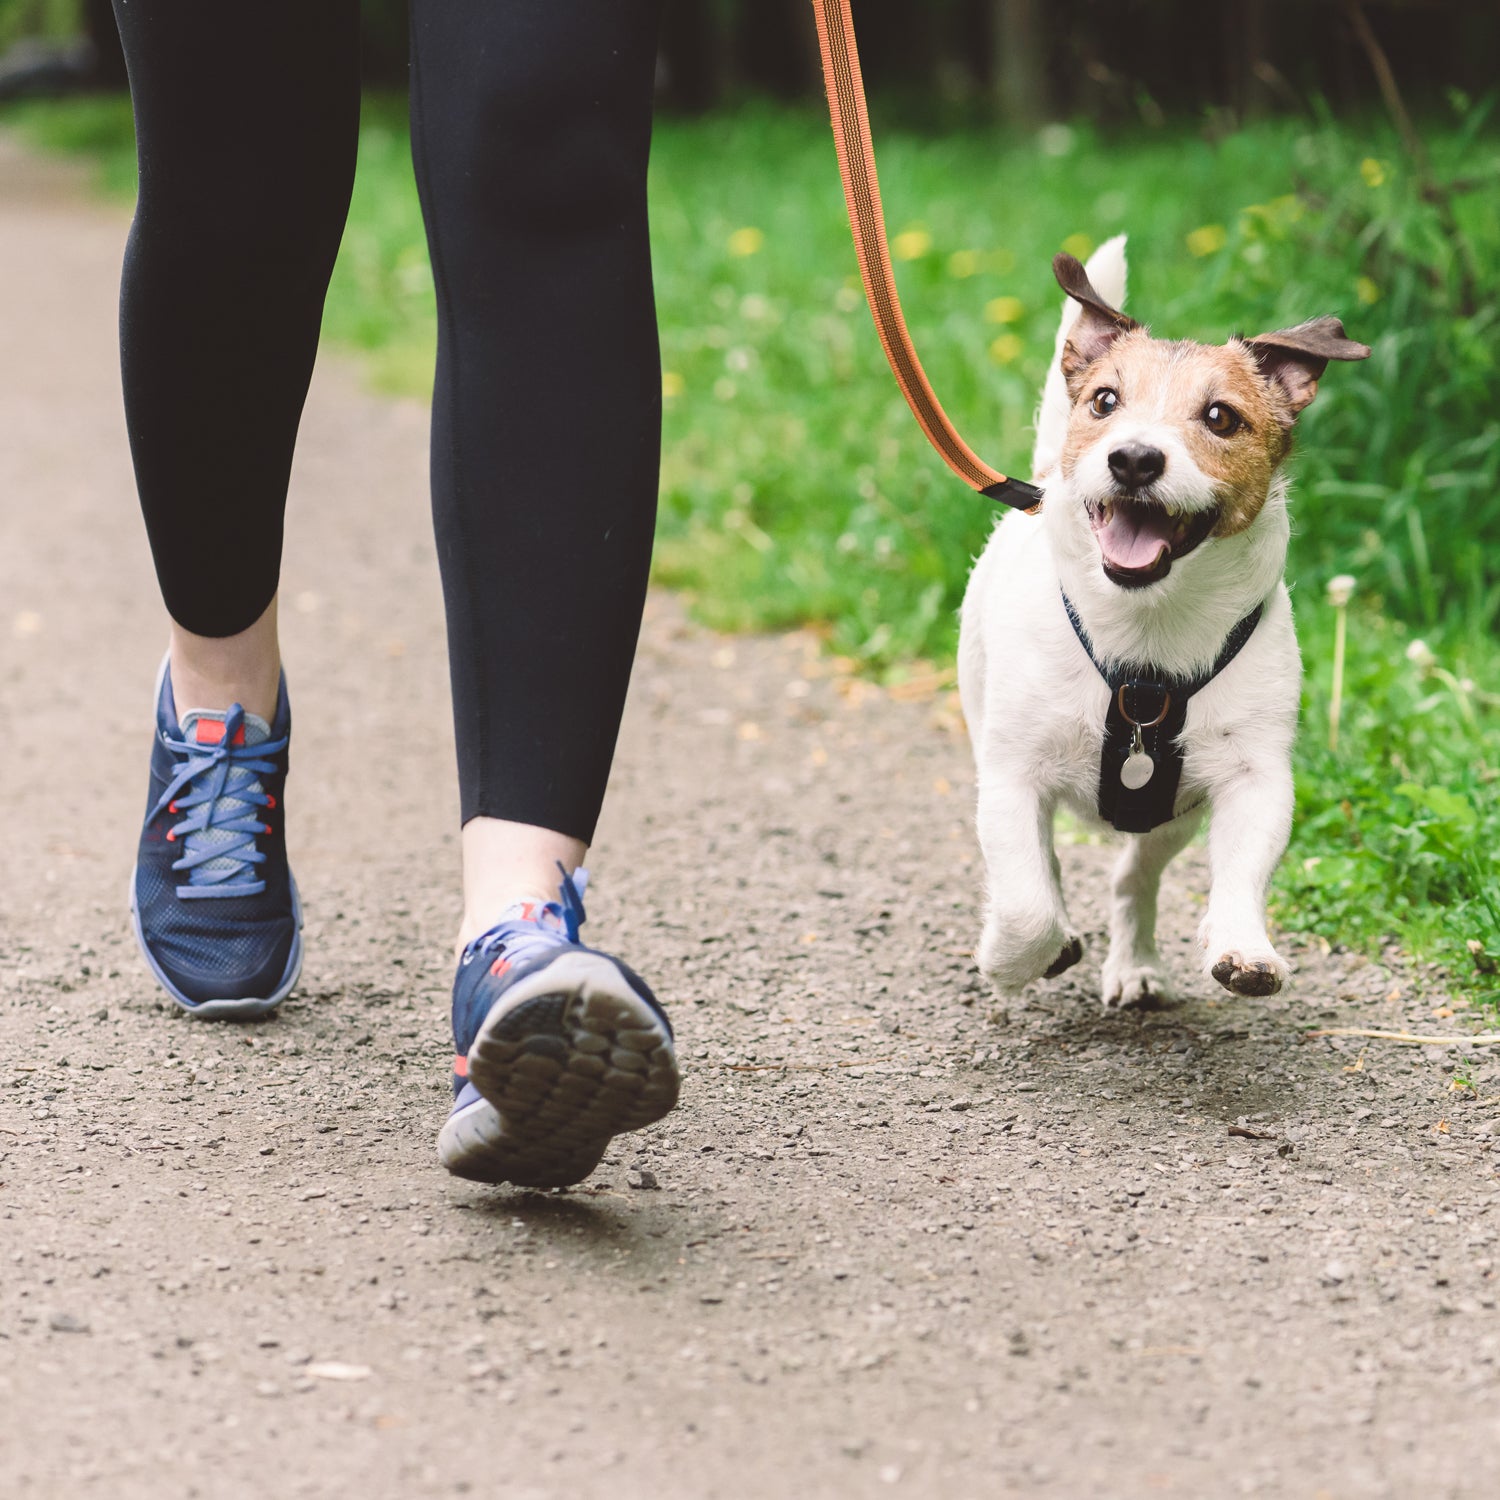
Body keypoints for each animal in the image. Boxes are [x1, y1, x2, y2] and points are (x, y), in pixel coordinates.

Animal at [960, 237, 1374, 1008]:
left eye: (1220, 418)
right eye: (1105, 401)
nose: (1133, 457)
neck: (1146, 640)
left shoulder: (1254, 778)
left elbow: (1242, 872)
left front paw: (1244, 947)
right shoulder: (1010, 777)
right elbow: (1027, 902)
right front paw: (1011, 959)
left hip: (1168, 818)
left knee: (1134, 877)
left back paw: (1136, 964)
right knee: (1044, 869)